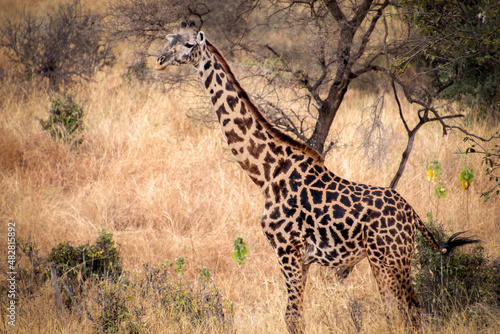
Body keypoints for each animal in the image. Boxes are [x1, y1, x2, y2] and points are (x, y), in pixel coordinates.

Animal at [156, 22, 480, 332]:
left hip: (390, 259)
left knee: (410, 309)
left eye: (188, 44)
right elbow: (296, 315)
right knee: (399, 310)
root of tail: (412, 214)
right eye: (169, 39)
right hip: (385, 260)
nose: (159, 60)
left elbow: (293, 318)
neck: (267, 173)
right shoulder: (303, 258)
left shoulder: (288, 250)